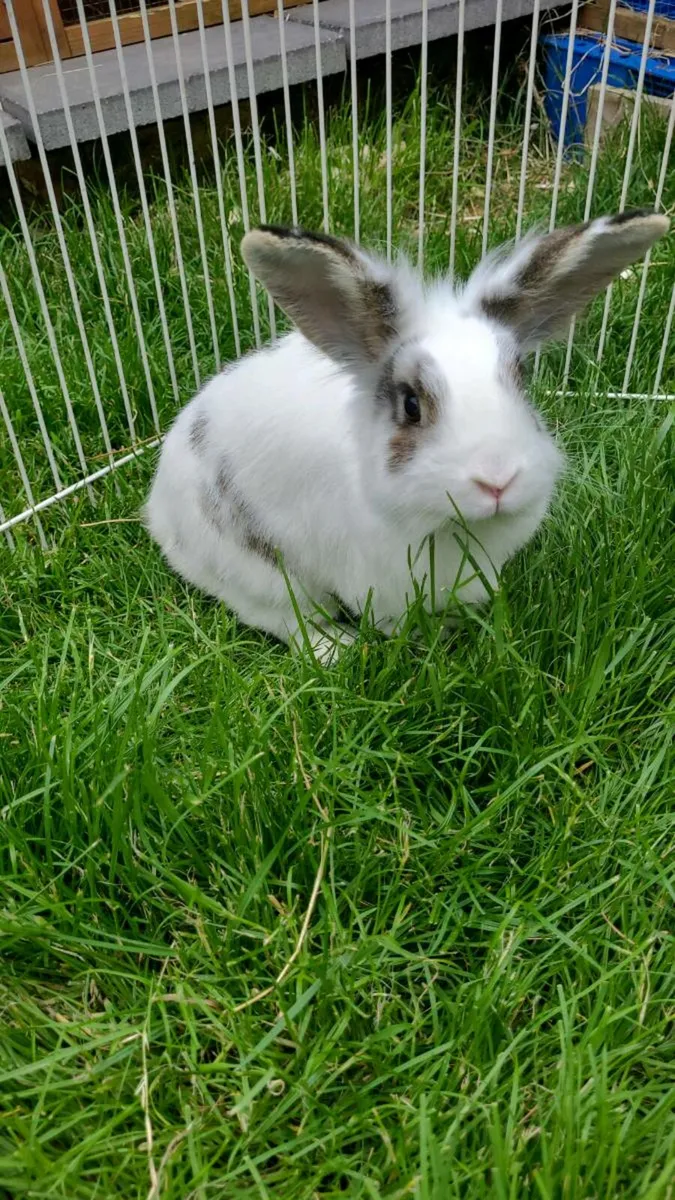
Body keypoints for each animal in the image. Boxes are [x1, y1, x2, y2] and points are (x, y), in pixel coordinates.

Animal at [144, 210, 669, 662]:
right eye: (411, 405)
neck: (450, 524)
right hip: (254, 570)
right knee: (285, 616)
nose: (497, 480)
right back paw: (335, 650)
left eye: (522, 382)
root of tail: (157, 509)